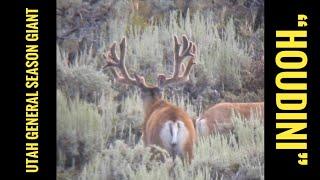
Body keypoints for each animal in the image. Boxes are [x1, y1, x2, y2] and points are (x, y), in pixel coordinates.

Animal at [102, 34, 198, 162]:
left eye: (140, 93)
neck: (155, 104)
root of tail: (174, 122)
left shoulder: (146, 141)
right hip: (189, 149)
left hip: (158, 148)